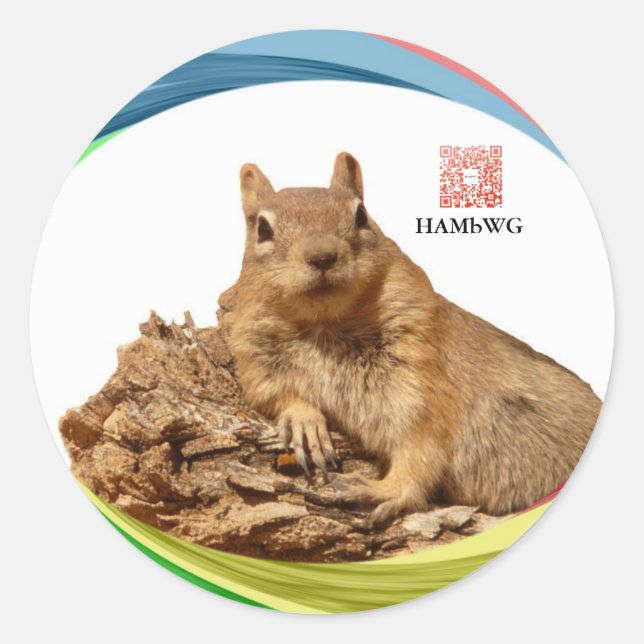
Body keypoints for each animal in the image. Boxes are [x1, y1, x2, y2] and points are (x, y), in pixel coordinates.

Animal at [223, 152, 602, 525]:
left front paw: (384, 489)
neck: (325, 325)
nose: (322, 256)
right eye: (262, 228)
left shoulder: (419, 376)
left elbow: (420, 446)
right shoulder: (255, 358)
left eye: (361, 215)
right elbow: (272, 394)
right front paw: (304, 421)